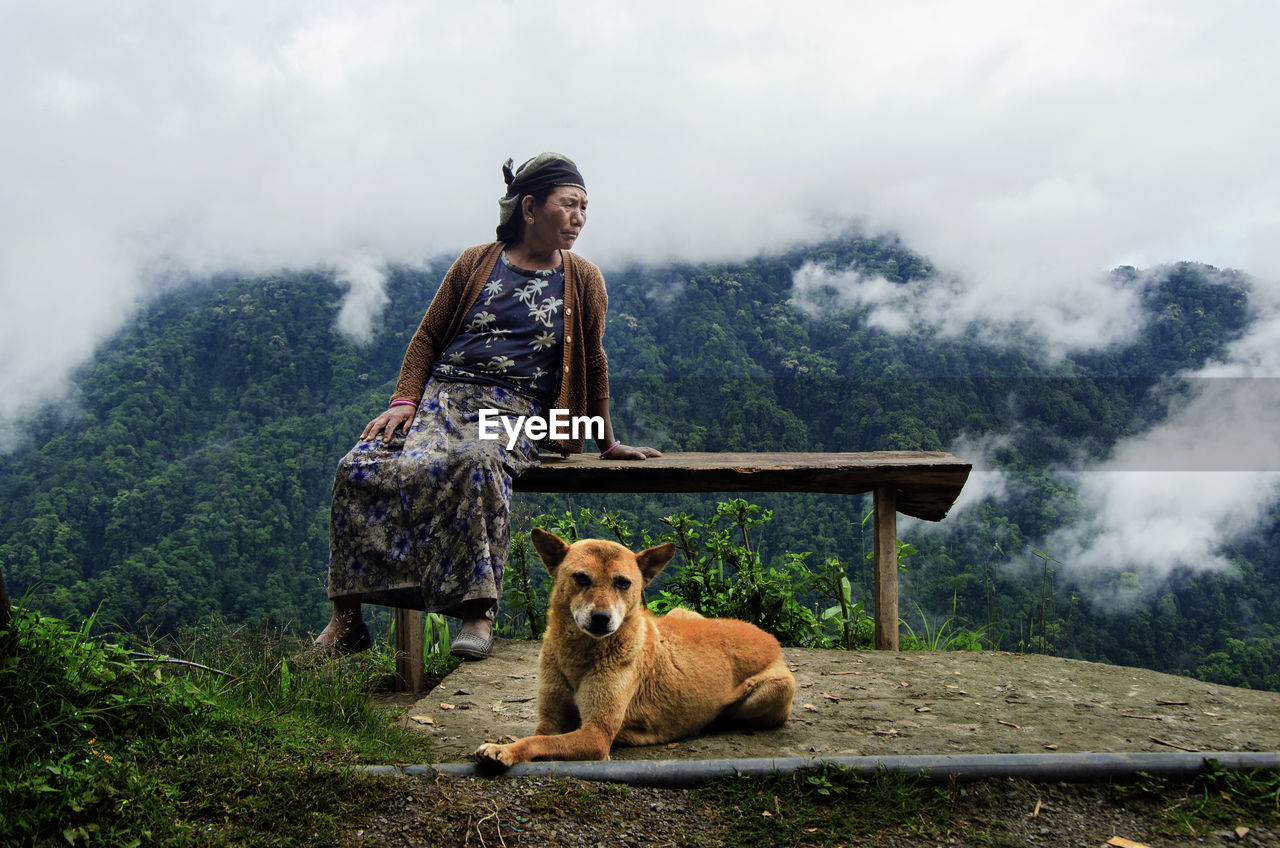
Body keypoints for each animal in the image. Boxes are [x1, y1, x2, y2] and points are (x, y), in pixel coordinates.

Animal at [476, 527, 793, 768]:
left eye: (623, 583)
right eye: (581, 577)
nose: (601, 618)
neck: (580, 654)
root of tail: (767, 637)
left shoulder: (596, 735)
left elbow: (539, 741)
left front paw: (504, 750)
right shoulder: (551, 718)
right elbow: (538, 735)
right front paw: (508, 744)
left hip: (776, 689)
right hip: (681, 613)